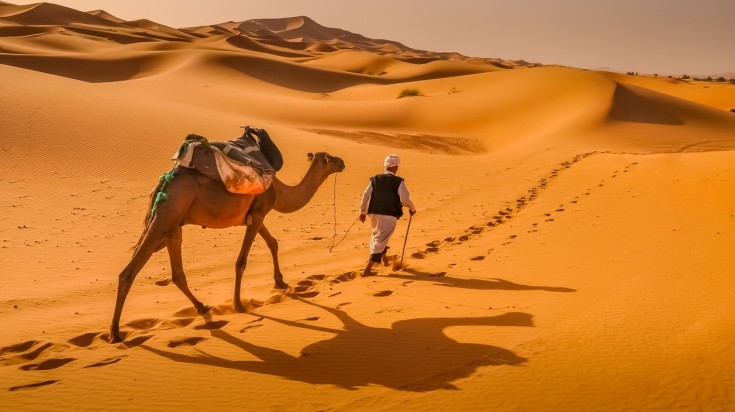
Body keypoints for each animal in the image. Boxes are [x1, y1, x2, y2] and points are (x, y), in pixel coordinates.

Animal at [110, 153, 346, 342]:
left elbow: (273, 243)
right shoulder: (258, 214)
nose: (342, 162)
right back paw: (115, 333)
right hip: (165, 219)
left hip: (173, 226)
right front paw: (238, 305)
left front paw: (280, 282)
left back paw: (201, 306)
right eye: (331, 158)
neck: (279, 192)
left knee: (177, 274)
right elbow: (241, 261)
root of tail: (163, 183)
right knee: (128, 273)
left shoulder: (256, 217)